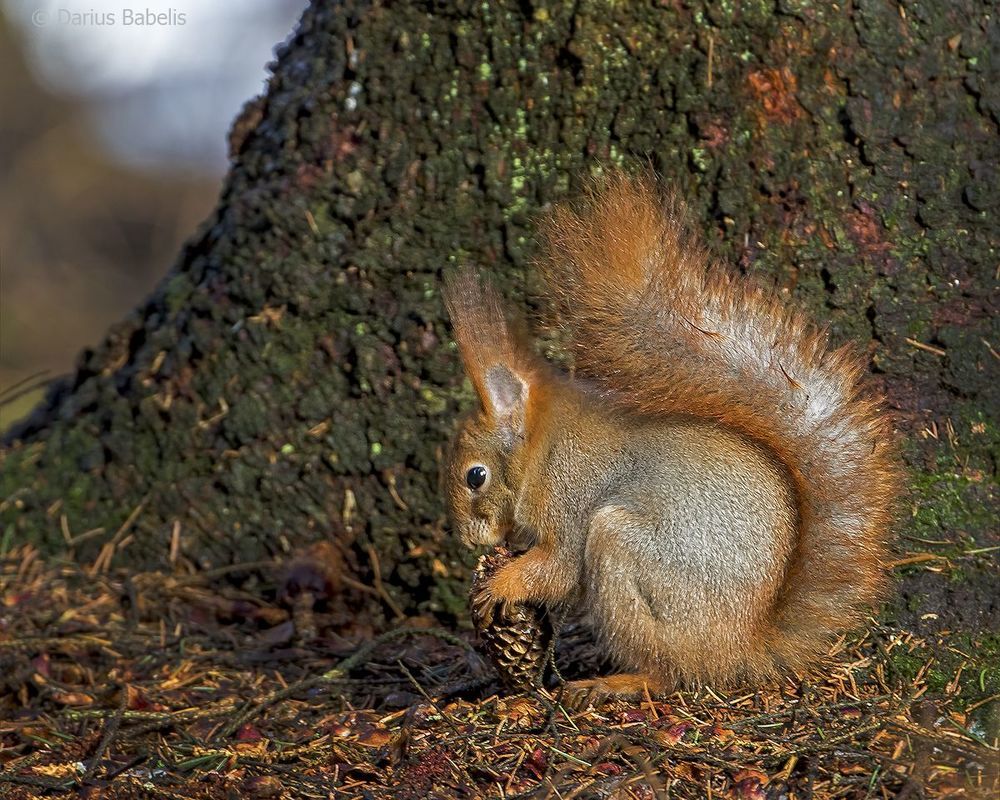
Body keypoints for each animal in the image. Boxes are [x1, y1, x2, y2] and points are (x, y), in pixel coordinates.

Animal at [443, 172, 901, 704]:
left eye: (476, 476)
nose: (468, 540)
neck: (544, 448)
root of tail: (742, 646)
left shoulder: (571, 494)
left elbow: (558, 568)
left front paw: (501, 583)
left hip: (623, 551)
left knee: (669, 672)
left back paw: (616, 682)